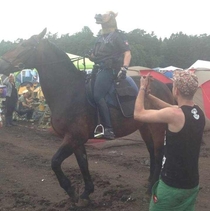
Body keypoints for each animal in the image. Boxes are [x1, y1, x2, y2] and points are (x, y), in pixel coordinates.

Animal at [0, 28, 174, 207]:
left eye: (25, 45)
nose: (2, 64)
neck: (69, 90)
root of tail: (165, 86)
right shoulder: (76, 140)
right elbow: (83, 163)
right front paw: (86, 193)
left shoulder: (74, 137)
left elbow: (55, 162)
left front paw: (71, 190)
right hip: (145, 127)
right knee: (152, 152)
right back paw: (150, 182)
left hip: (157, 128)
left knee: (158, 153)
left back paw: (151, 189)